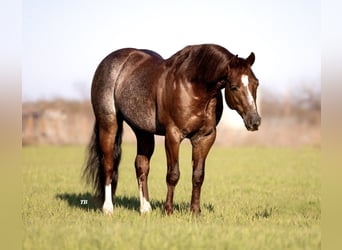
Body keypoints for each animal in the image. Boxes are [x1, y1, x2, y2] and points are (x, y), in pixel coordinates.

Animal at [83, 43, 262, 215]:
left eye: (256, 83)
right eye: (234, 87)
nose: (255, 121)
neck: (193, 86)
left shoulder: (205, 137)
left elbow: (198, 176)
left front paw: (195, 211)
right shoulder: (173, 136)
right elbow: (173, 174)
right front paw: (168, 210)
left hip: (142, 130)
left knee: (141, 165)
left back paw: (145, 209)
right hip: (108, 123)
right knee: (108, 163)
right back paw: (108, 208)